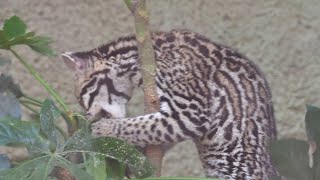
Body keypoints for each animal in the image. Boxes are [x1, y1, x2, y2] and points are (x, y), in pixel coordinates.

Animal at [62, 29, 278, 179]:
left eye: (82, 97)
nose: (87, 116)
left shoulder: (190, 114)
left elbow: (141, 125)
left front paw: (104, 128)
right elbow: (152, 131)